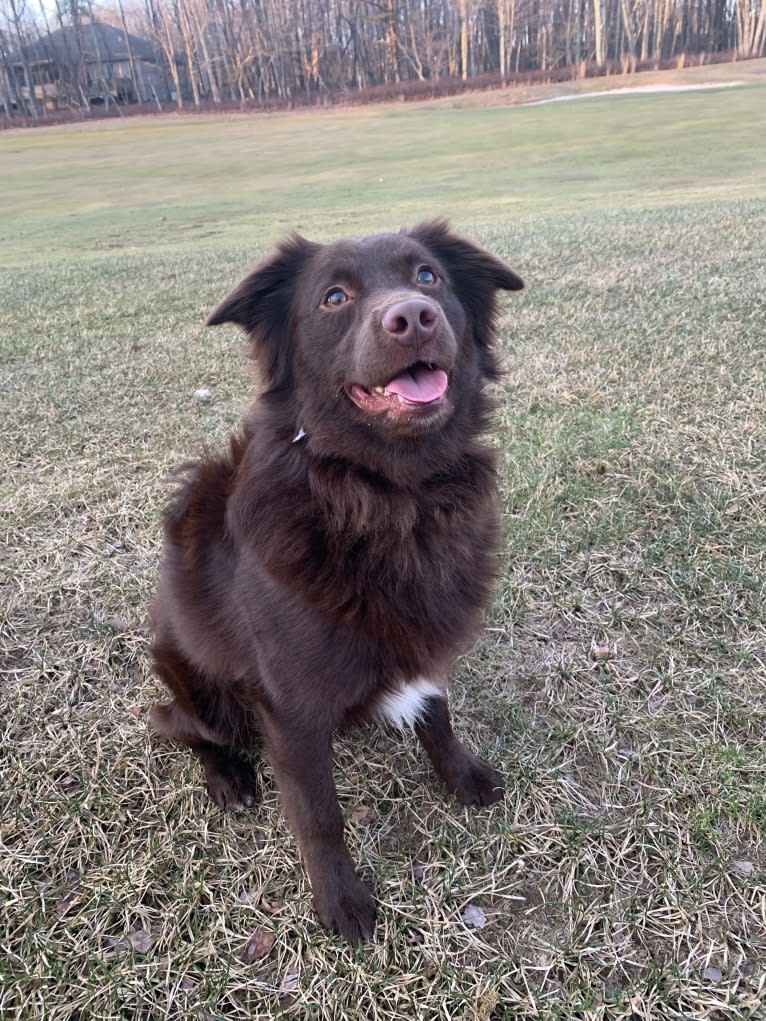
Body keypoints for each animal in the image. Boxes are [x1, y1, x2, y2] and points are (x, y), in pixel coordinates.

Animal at [150, 221, 527, 939]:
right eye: (333, 297)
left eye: (428, 276)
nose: (413, 316)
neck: (390, 497)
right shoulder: (290, 711)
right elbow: (318, 814)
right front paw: (340, 900)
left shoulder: (423, 641)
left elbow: (438, 715)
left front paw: (461, 775)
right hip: (200, 691)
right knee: (177, 725)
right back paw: (228, 777)